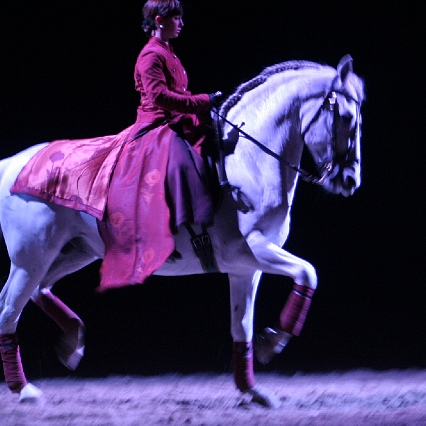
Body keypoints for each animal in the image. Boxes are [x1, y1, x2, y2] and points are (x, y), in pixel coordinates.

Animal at [0, 55, 364, 408]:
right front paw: (274, 343)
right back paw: (25, 390)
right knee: (9, 309)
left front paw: (253, 390)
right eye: (346, 117)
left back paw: (72, 341)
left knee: (39, 290)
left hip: (75, 250)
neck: (248, 161)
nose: (350, 181)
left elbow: (241, 327)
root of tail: (12, 164)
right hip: (31, 258)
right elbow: (308, 273)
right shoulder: (256, 248)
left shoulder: (246, 267)